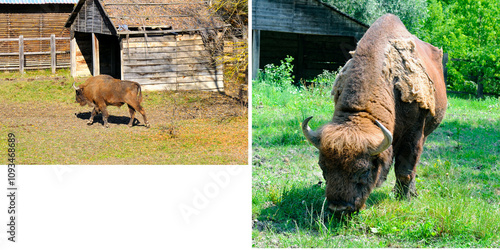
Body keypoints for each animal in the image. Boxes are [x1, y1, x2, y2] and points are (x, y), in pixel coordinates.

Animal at [302, 14, 448, 217]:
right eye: (323, 167)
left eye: (364, 170)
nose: (339, 208)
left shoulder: (414, 134)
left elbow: (405, 168)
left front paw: (404, 198)